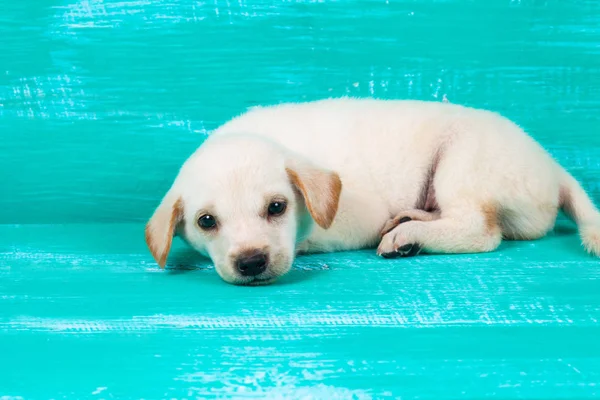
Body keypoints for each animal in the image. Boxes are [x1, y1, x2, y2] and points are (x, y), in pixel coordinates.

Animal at [145, 97, 600, 284]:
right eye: (206, 222)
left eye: (277, 207)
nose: (251, 262)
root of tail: (553, 166)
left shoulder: (348, 220)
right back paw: (410, 220)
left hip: (461, 161)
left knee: (482, 230)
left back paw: (408, 235)